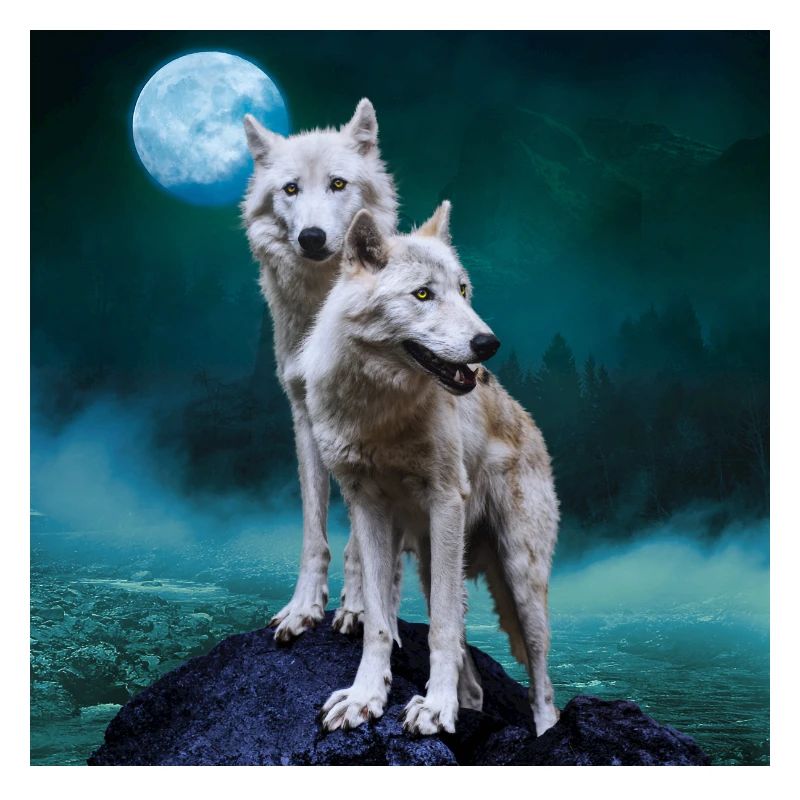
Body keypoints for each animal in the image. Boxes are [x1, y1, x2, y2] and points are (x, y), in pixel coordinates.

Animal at [242, 99, 397, 641]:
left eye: (337, 184)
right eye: (291, 188)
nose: (311, 238)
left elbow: (361, 540)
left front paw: (358, 607)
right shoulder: (305, 417)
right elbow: (314, 529)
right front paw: (303, 608)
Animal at [300, 202, 560, 736]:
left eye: (462, 290)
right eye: (423, 294)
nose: (488, 344)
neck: (381, 413)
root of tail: (530, 422)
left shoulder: (445, 501)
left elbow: (439, 628)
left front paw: (436, 708)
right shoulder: (367, 507)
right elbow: (379, 622)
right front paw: (365, 697)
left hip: (520, 579)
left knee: (542, 685)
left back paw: (543, 733)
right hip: (431, 559)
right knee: (472, 670)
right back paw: (467, 703)